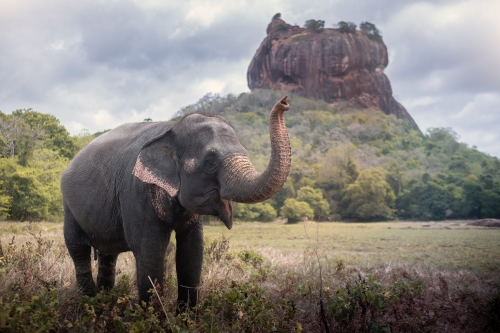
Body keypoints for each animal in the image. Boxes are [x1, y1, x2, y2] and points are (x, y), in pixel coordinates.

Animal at [60, 94, 292, 310]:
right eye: (210, 162)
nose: (285, 101)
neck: (171, 128)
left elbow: (192, 250)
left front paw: (186, 316)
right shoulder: (136, 191)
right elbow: (150, 250)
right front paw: (154, 317)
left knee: (108, 255)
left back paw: (102, 303)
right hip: (68, 206)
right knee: (78, 249)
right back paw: (88, 302)